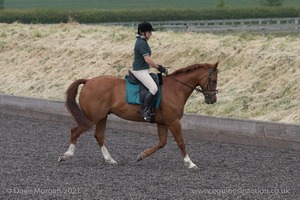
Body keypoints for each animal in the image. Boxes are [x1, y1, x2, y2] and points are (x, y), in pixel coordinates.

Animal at [58, 62, 218, 169]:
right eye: (214, 80)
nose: (212, 100)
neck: (175, 89)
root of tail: (88, 81)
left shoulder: (162, 122)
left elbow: (162, 143)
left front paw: (141, 156)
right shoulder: (173, 122)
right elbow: (180, 142)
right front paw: (190, 163)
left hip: (102, 117)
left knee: (99, 136)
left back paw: (110, 160)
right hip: (93, 118)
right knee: (75, 131)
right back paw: (66, 155)